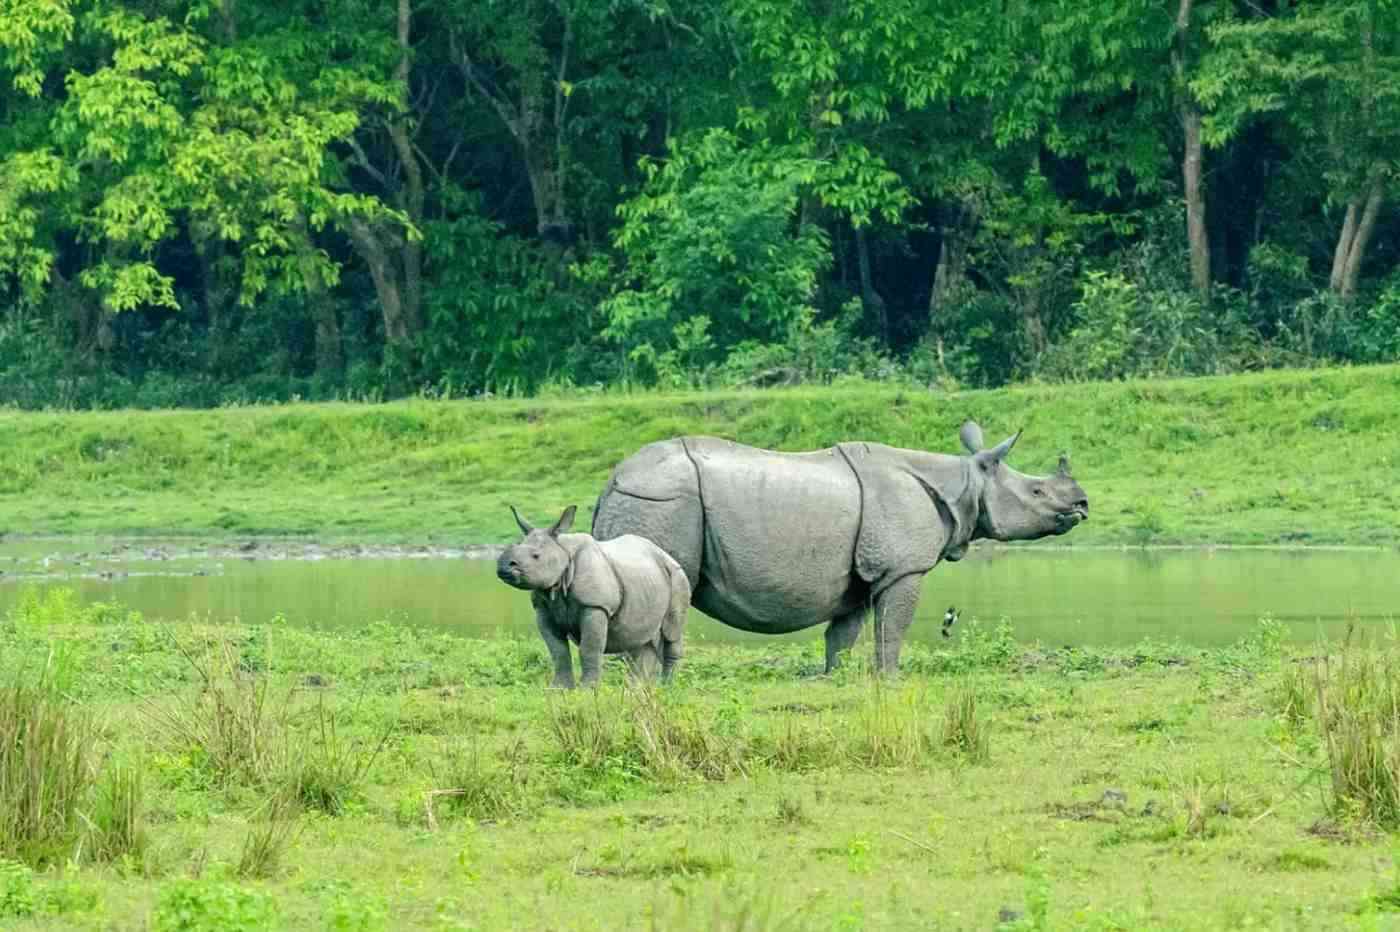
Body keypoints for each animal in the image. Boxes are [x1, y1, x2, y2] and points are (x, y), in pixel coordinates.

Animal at [497, 505, 691, 688]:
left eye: (536, 556)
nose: (503, 567)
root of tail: (666, 554)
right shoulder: (543, 609)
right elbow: (558, 650)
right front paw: (558, 689)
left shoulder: (595, 605)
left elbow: (589, 649)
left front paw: (587, 689)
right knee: (641, 640)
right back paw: (637, 689)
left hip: (678, 575)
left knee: (671, 632)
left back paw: (667, 687)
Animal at [590, 421, 1088, 674]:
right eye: (1038, 492)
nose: (1082, 504)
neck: (964, 482)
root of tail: (612, 480)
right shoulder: (902, 568)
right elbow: (892, 629)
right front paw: (890, 680)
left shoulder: (860, 576)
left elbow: (843, 636)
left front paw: (835, 679)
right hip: (663, 500)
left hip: (648, 500)